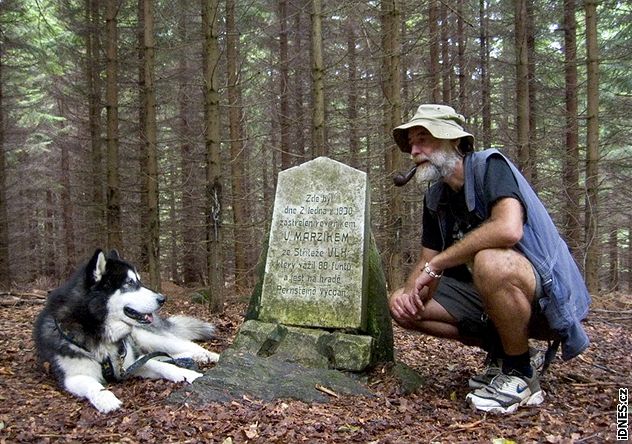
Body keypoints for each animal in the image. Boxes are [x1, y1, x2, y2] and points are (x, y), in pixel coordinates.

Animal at [32, 250, 220, 412]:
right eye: (130, 283)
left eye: (139, 281)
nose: (162, 298)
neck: (97, 329)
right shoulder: (73, 376)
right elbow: (93, 385)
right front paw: (106, 399)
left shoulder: (128, 362)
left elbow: (162, 366)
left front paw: (189, 374)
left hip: (147, 336)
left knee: (182, 347)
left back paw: (209, 355)